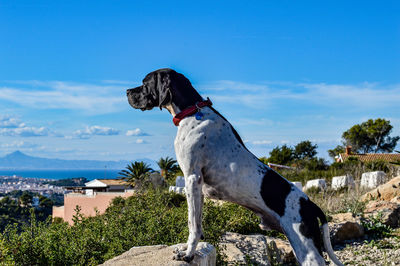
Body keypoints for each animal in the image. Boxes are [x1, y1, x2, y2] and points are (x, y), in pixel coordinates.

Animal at [126, 69, 342, 266]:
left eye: (144, 83)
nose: (127, 91)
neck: (192, 111)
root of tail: (311, 205)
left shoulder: (191, 178)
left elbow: (192, 225)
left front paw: (188, 254)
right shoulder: (197, 187)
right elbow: (197, 223)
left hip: (307, 250)